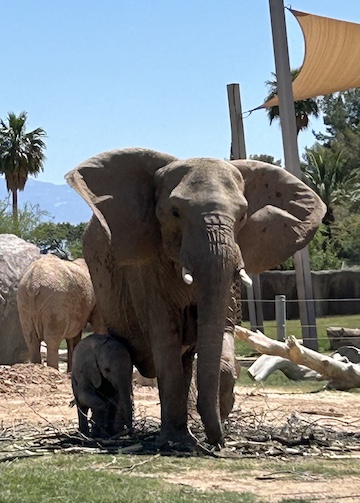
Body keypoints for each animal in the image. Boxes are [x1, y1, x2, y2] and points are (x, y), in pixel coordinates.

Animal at [65, 148, 326, 446]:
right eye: (175, 212)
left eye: (242, 215)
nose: (217, 442)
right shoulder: (146, 270)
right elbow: (165, 339)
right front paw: (177, 442)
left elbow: (222, 334)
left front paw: (217, 421)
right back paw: (113, 434)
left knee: (186, 360)